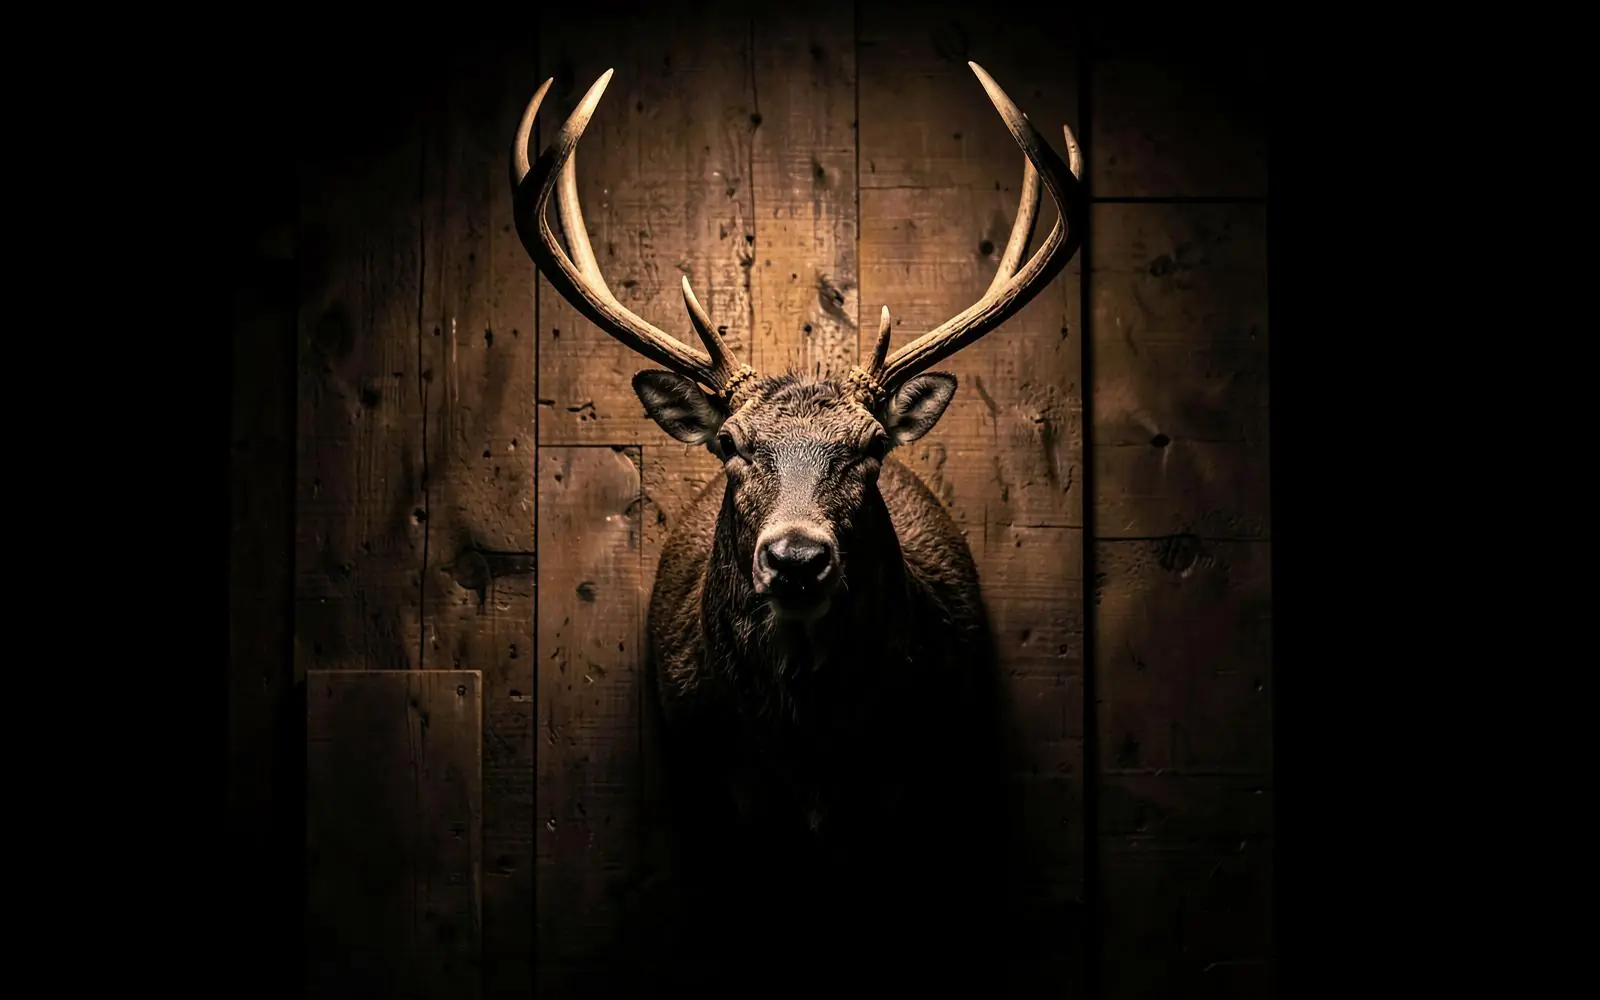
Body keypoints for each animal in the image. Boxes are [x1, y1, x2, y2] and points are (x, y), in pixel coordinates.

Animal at [511, 62, 1085, 990]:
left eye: (873, 445)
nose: (795, 557)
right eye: (730, 444)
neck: (811, 755)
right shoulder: (717, 791)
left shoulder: (910, 784)